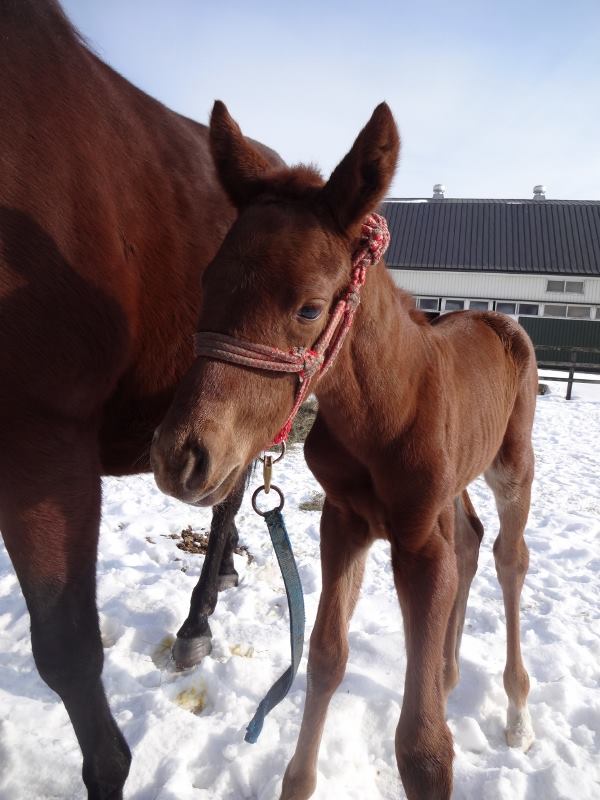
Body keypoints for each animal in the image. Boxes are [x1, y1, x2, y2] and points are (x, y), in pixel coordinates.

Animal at [152, 100, 538, 799]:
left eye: (309, 309)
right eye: (207, 280)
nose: (180, 455)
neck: (384, 414)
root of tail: (498, 318)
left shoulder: (418, 546)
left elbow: (424, 745)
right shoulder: (344, 524)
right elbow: (327, 655)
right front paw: (296, 783)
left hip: (512, 467)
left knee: (507, 557)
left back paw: (518, 711)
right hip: (454, 486)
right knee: (469, 541)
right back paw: (448, 676)